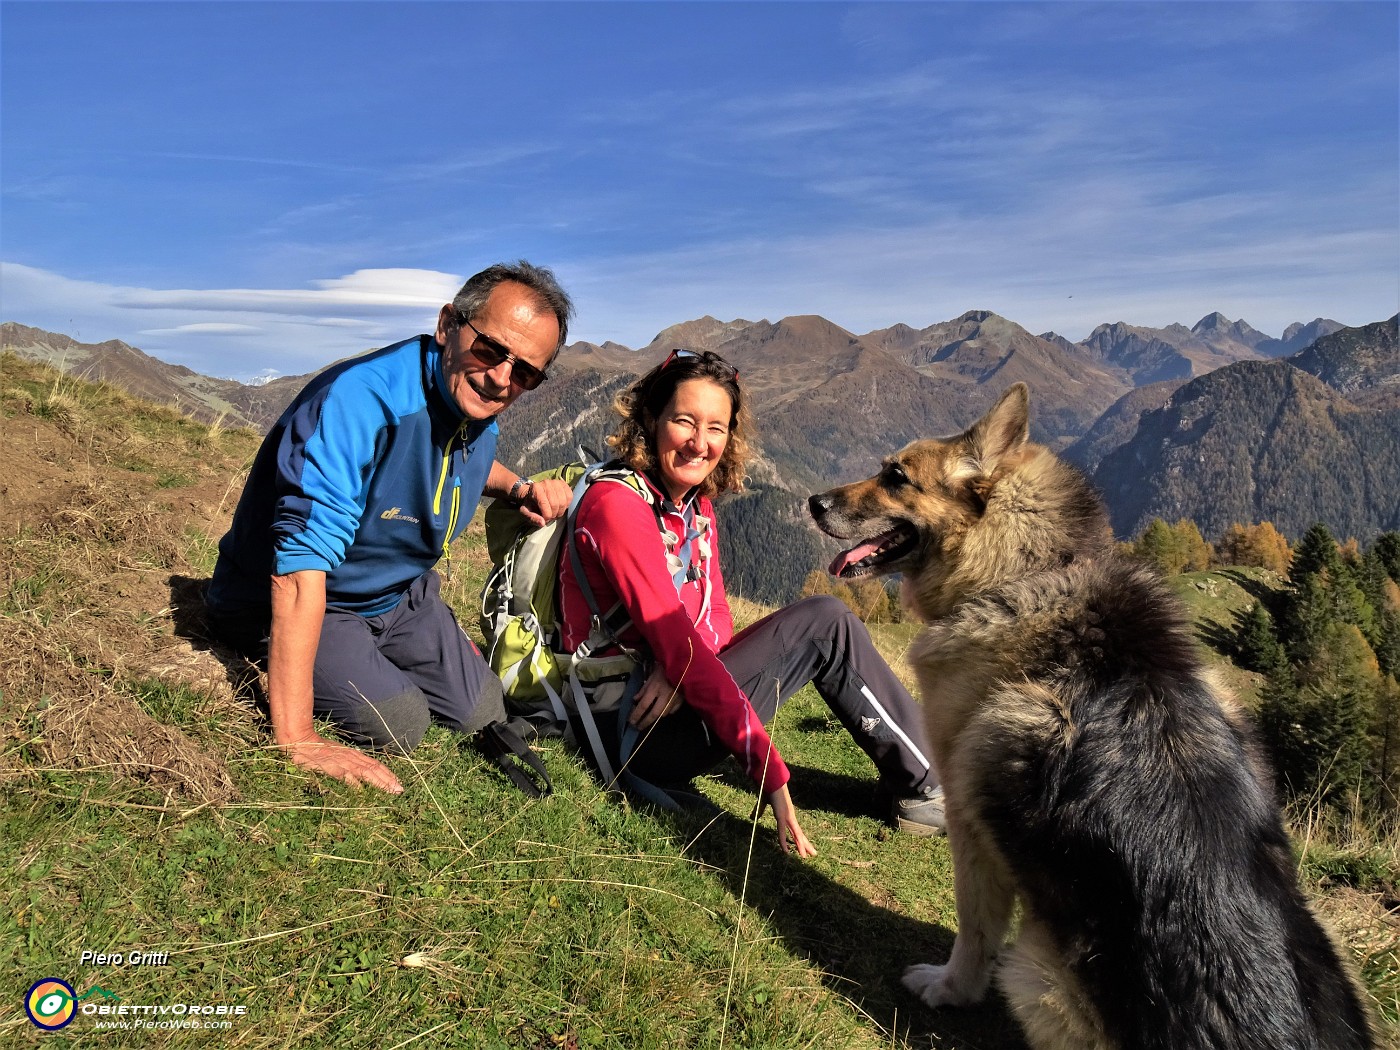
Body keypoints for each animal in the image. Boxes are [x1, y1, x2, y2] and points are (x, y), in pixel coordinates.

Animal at [806, 386, 1372, 1050]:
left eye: (895, 476)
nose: (813, 502)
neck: (1029, 571)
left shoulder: (970, 824)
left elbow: (974, 928)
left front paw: (950, 988)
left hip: (1035, 973)